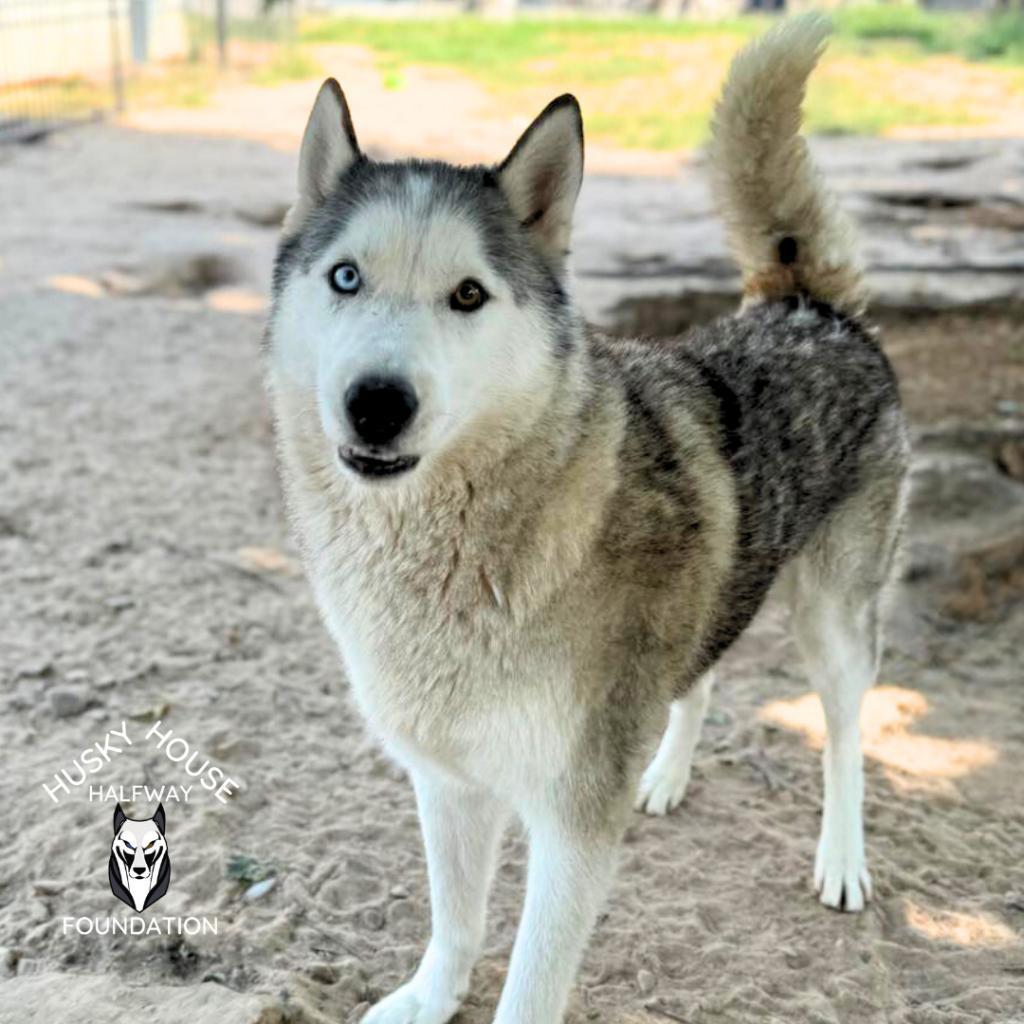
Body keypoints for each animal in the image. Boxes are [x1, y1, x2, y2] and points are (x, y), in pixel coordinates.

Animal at [268, 18, 909, 1024]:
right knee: (699, 681)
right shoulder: (446, 778)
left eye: (468, 294)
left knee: (845, 737)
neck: (460, 561)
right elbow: (455, 923)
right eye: (344, 277)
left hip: (833, 624)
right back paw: (667, 778)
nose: (376, 404)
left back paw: (842, 858)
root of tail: (807, 303)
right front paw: (428, 997)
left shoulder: (571, 820)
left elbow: (530, 986)